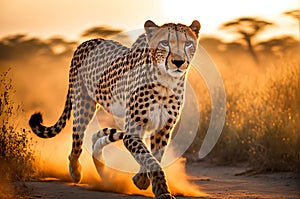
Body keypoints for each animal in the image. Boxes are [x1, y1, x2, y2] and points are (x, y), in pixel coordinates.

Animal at [29, 19, 200, 199]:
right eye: (164, 43)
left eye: (188, 43)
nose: (178, 62)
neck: (166, 82)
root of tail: (87, 41)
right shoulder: (133, 130)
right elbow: (149, 158)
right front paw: (160, 190)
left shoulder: (163, 129)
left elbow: (154, 157)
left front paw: (143, 180)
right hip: (84, 104)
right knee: (77, 141)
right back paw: (76, 172)